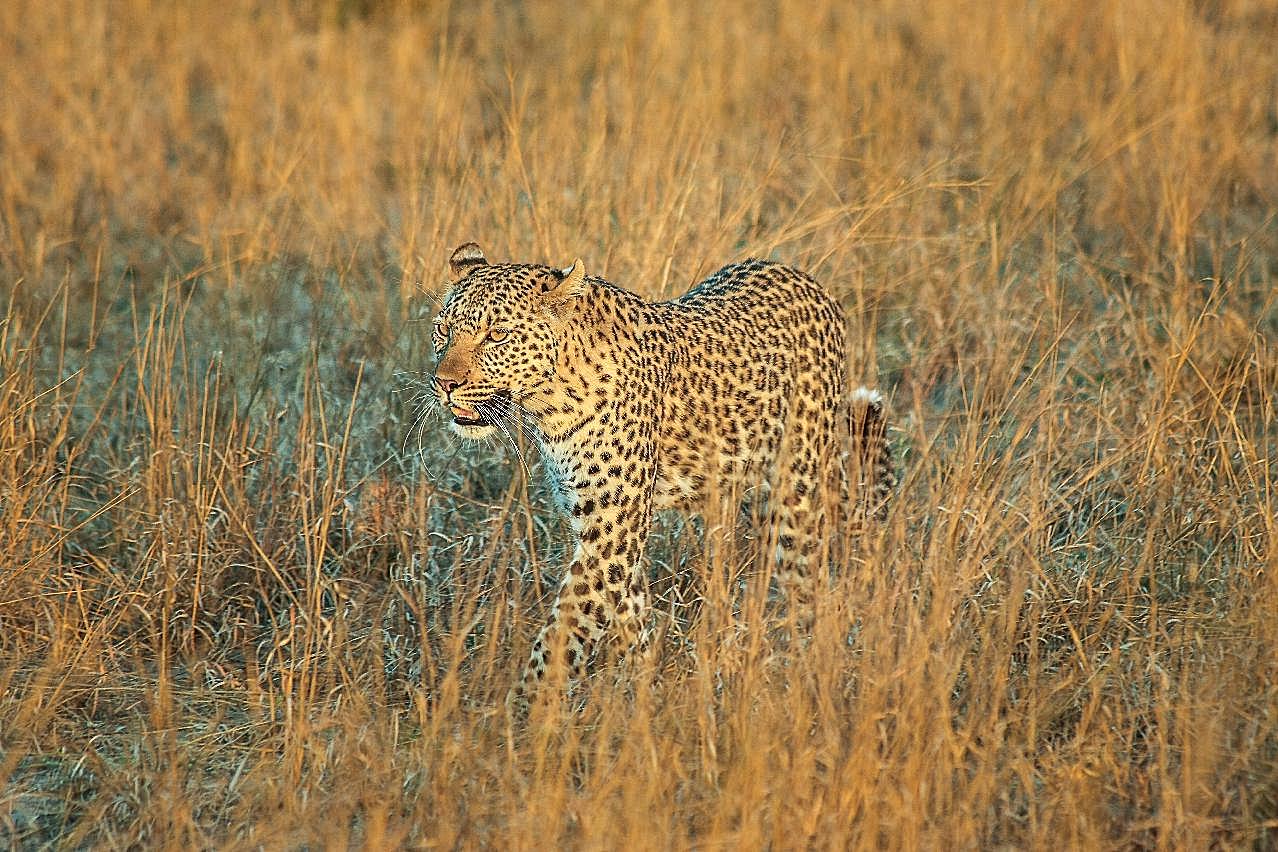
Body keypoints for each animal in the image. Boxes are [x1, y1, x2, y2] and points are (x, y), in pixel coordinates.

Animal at [424, 242, 894, 710]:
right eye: (442, 330)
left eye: (497, 335)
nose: (444, 383)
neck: (549, 403)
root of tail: (808, 281)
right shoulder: (604, 528)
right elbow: (625, 616)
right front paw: (642, 691)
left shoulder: (611, 533)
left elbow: (563, 631)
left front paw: (518, 713)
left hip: (798, 493)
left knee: (809, 586)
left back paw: (807, 670)